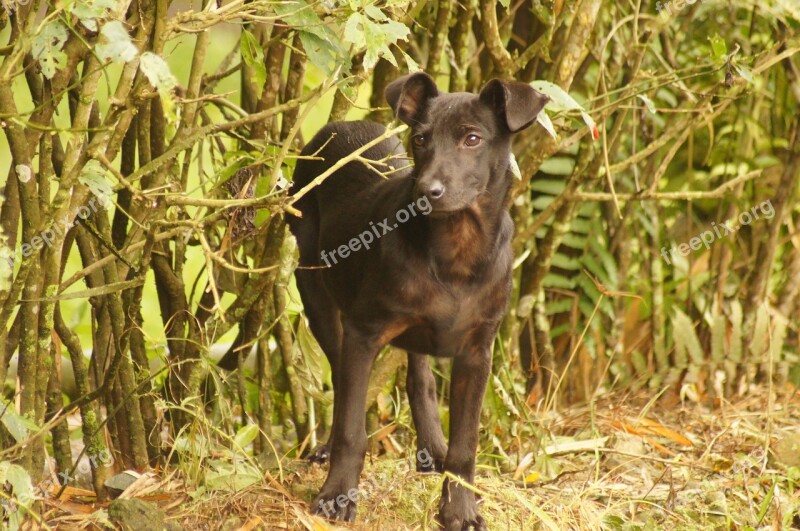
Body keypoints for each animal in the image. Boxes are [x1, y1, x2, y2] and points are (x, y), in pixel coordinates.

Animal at [290, 72, 552, 528]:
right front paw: (337, 496)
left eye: (472, 138)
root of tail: (339, 126)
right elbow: (351, 428)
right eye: (421, 139)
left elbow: (466, 445)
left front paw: (460, 509)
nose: (428, 191)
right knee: (341, 379)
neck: (457, 248)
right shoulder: (363, 332)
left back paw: (432, 447)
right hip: (315, 291)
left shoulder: (477, 351)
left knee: (420, 377)